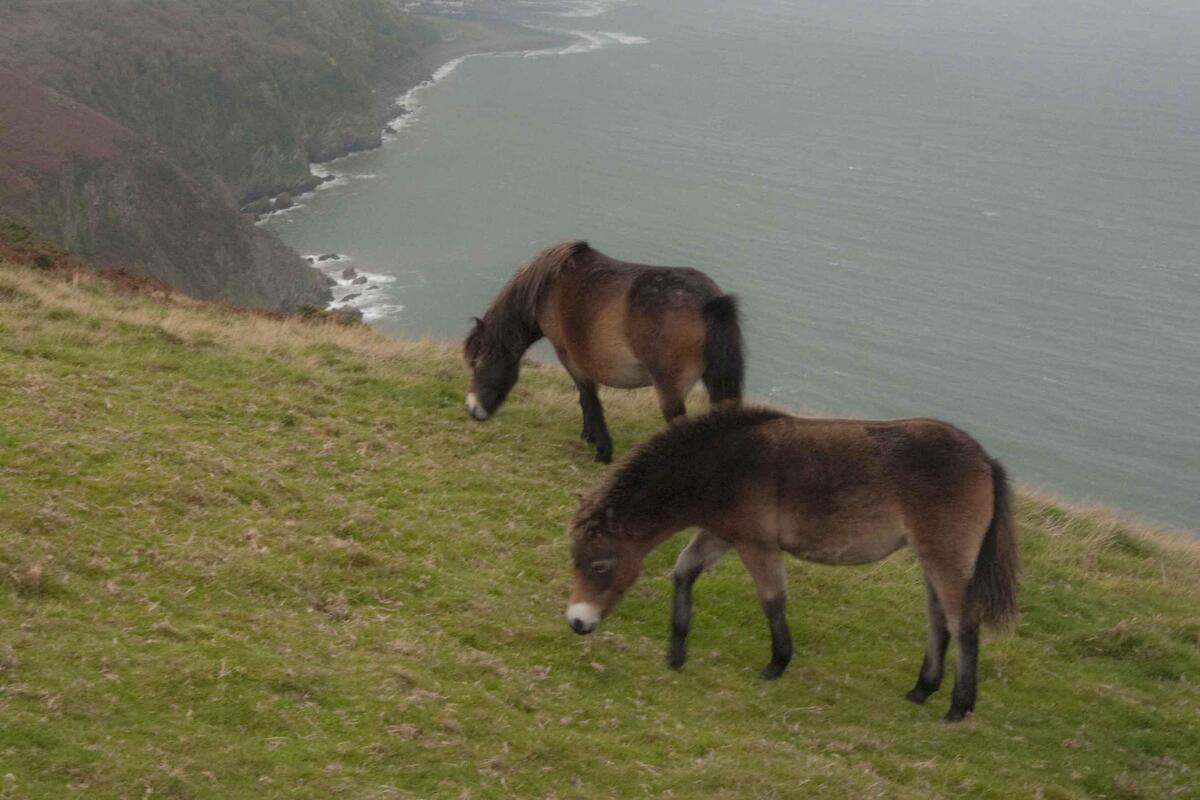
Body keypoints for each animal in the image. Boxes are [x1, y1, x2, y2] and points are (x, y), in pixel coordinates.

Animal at [463, 240, 744, 462]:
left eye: (477, 363)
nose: (472, 409)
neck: (549, 287)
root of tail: (709, 301)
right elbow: (585, 397)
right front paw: (589, 436)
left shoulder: (568, 355)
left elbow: (588, 396)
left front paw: (602, 449)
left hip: (670, 390)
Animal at [564, 405, 1020, 722]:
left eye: (599, 566)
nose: (577, 622)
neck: (723, 464)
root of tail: (985, 460)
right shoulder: (721, 536)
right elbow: (683, 571)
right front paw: (676, 653)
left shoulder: (757, 545)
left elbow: (772, 600)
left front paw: (777, 663)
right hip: (929, 559)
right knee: (937, 620)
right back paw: (922, 689)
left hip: (947, 559)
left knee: (963, 625)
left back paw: (958, 707)